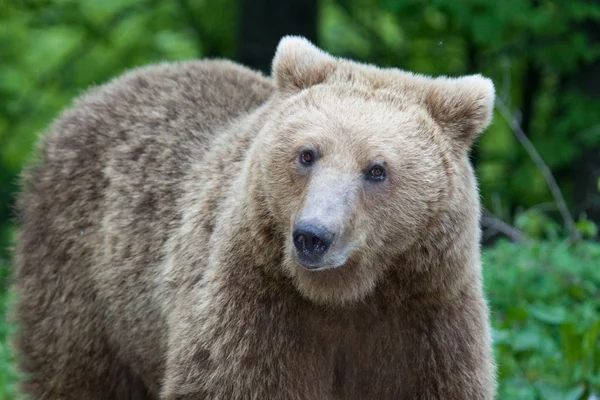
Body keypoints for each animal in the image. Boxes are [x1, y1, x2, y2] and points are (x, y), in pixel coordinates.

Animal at [11, 36, 496, 398]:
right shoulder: (255, 302)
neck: (346, 296)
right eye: (307, 153)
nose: (312, 236)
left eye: (377, 169)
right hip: (82, 279)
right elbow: (233, 378)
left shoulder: (427, 314)